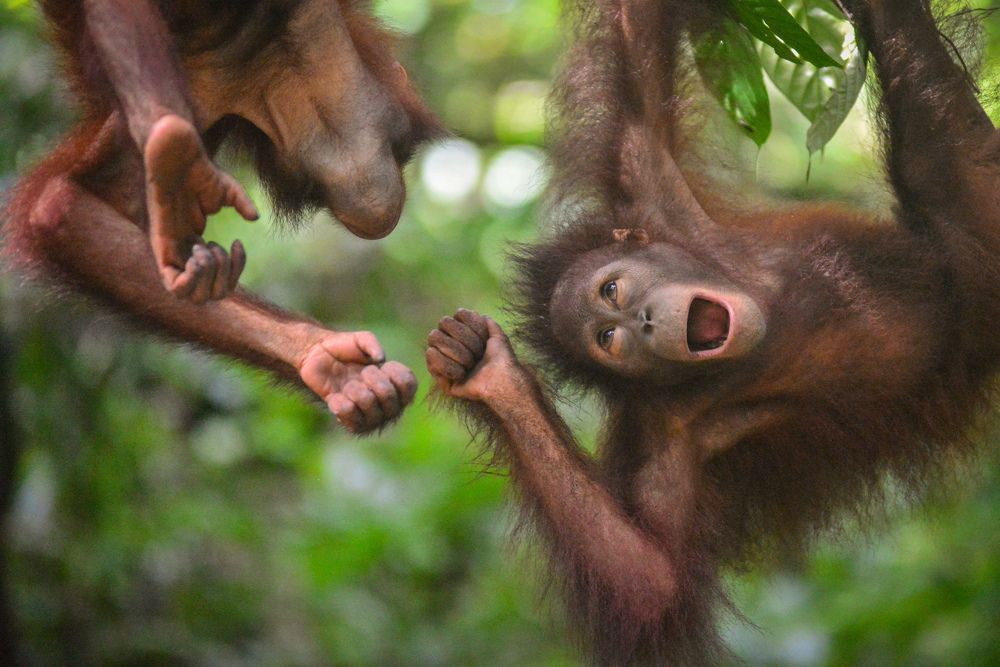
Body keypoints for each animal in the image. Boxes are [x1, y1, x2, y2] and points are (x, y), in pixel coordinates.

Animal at [2, 0, 445, 433]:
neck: (277, 52)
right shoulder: (205, 81)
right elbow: (71, 205)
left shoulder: (207, 90)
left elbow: (65, 212)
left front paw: (331, 365)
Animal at [427, 0, 1000, 663]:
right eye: (609, 340)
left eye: (613, 292)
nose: (645, 322)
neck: (767, 315)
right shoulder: (665, 438)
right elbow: (647, 579)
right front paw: (491, 377)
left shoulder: (653, 190)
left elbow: (637, 48)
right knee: (943, 151)